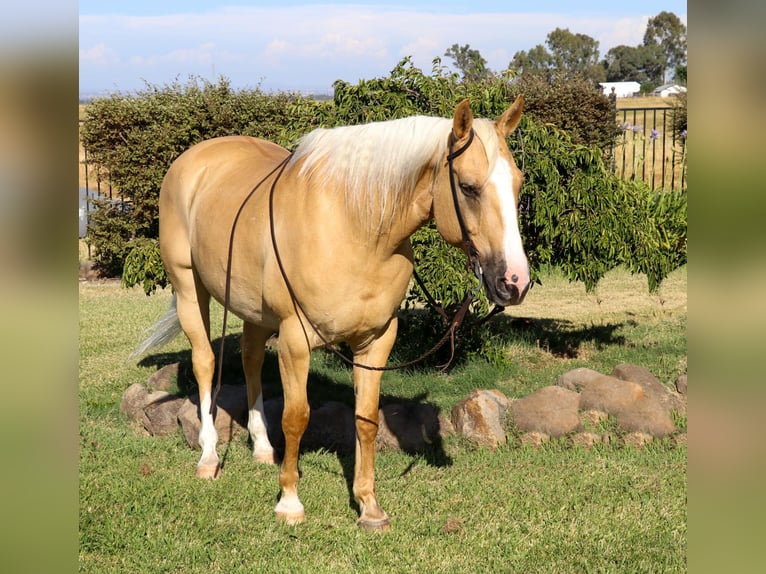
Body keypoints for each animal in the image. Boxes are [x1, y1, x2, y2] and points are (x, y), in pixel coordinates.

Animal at [133, 97, 530, 530]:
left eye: (518, 184)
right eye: (469, 188)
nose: (514, 281)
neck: (354, 228)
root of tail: (193, 159)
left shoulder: (375, 342)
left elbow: (366, 419)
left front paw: (369, 506)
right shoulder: (294, 340)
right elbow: (296, 417)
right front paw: (289, 502)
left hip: (255, 311)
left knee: (251, 360)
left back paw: (261, 447)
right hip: (191, 290)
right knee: (206, 362)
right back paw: (208, 457)